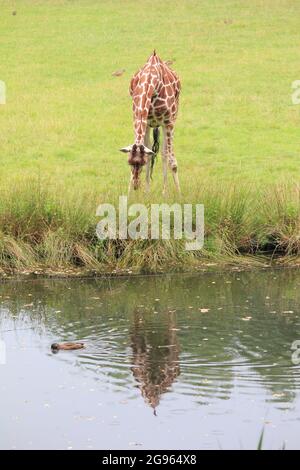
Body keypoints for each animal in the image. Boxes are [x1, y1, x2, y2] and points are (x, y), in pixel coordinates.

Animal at [119, 52, 180, 195]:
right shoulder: (139, 119)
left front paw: (177, 194)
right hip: (152, 124)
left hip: (170, 120)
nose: (136, 185)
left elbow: (170, 160)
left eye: (141, 162)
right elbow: (147, 149)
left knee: (165, 153)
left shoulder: (168, 121)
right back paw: (148, 191)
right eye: (129, 162)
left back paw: (166, 192)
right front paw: (133, 194)